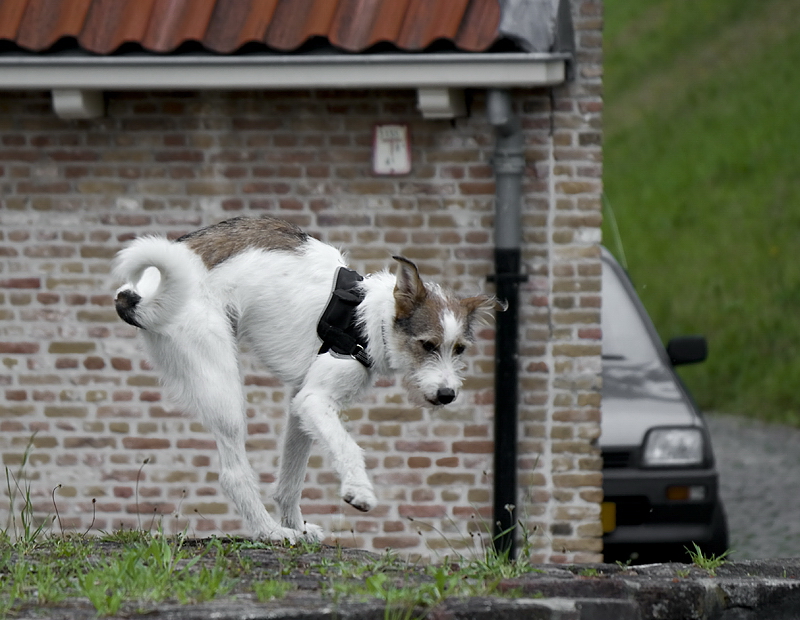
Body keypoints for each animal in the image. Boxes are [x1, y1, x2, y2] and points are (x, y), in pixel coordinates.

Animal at [112, 216, 500, 540]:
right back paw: (268, 532)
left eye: (459, 349)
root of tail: (139, 293)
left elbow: (292, 478)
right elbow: (348, 447)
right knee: (234, 474)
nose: (448, 394)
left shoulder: (301, 406)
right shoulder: (315, 401)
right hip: (222, 387)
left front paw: (297, 524)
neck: (369, 320)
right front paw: (359, 490)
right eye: (427, 345)